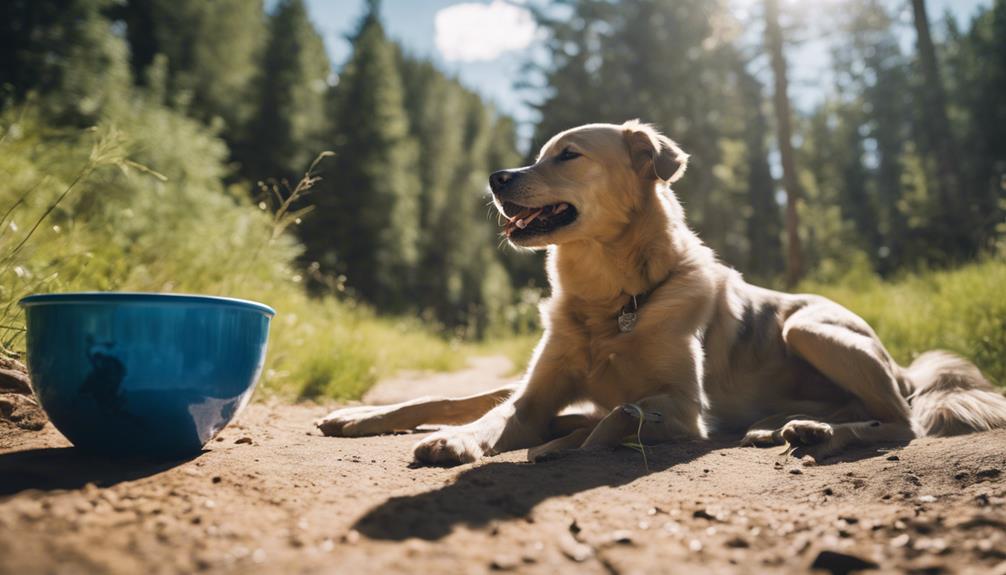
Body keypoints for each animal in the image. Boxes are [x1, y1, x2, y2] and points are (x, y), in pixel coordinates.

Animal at [315, 119, 1006, 464]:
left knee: (900, 423)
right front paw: (376, 418)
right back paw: (784, 429)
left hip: (805, 327)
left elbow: (624, 411)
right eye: (537, 154)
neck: (611, 302)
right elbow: (471, 403)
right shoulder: (536, 389)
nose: (495, 177)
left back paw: (811, 432)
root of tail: (906, 367)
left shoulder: (683, 403)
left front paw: (562, 443)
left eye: (567, 155)